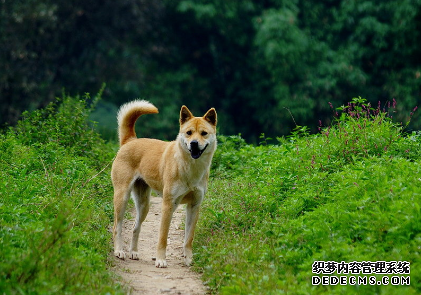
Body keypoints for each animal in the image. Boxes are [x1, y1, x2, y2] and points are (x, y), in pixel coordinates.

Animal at [110, 100, 217, 268]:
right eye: (189, 132)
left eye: (204, 133)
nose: (194, 144)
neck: (190, 168)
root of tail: (130, 140)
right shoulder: (168, 204)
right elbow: (162, 237)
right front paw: (161, 260)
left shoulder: (194, 206)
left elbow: (189, 238)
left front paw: (188, 259)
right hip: (122, 197)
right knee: (117, 227)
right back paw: (119, 251)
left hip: (144, 205)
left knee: (135, 228)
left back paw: (133, 252)